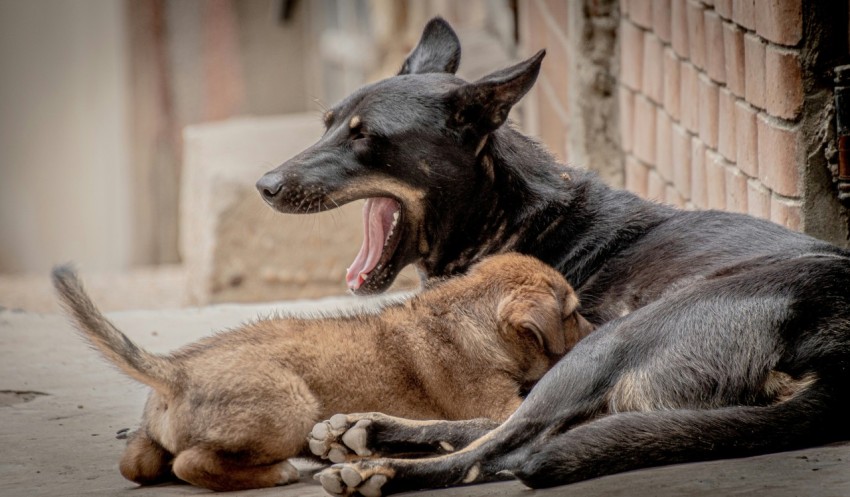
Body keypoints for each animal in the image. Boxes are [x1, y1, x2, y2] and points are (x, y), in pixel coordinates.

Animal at [53, 254, 592, 490]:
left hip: (149, 439)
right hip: (293, 404)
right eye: (572, 313)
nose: (602, 330)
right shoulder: (500, 405)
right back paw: (281, 472)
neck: (465, 313)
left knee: (139, 465)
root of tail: (173, 373)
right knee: (191, 465)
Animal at [256, 17, 848, 494]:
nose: (265, 186)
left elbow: (495, 426)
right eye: (328, 124)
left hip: (608, 343)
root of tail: (836, 355)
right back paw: (370, 431)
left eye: (365, 137)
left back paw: (381, 467)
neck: (513, 214)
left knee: (504, 446)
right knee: (509, 434)